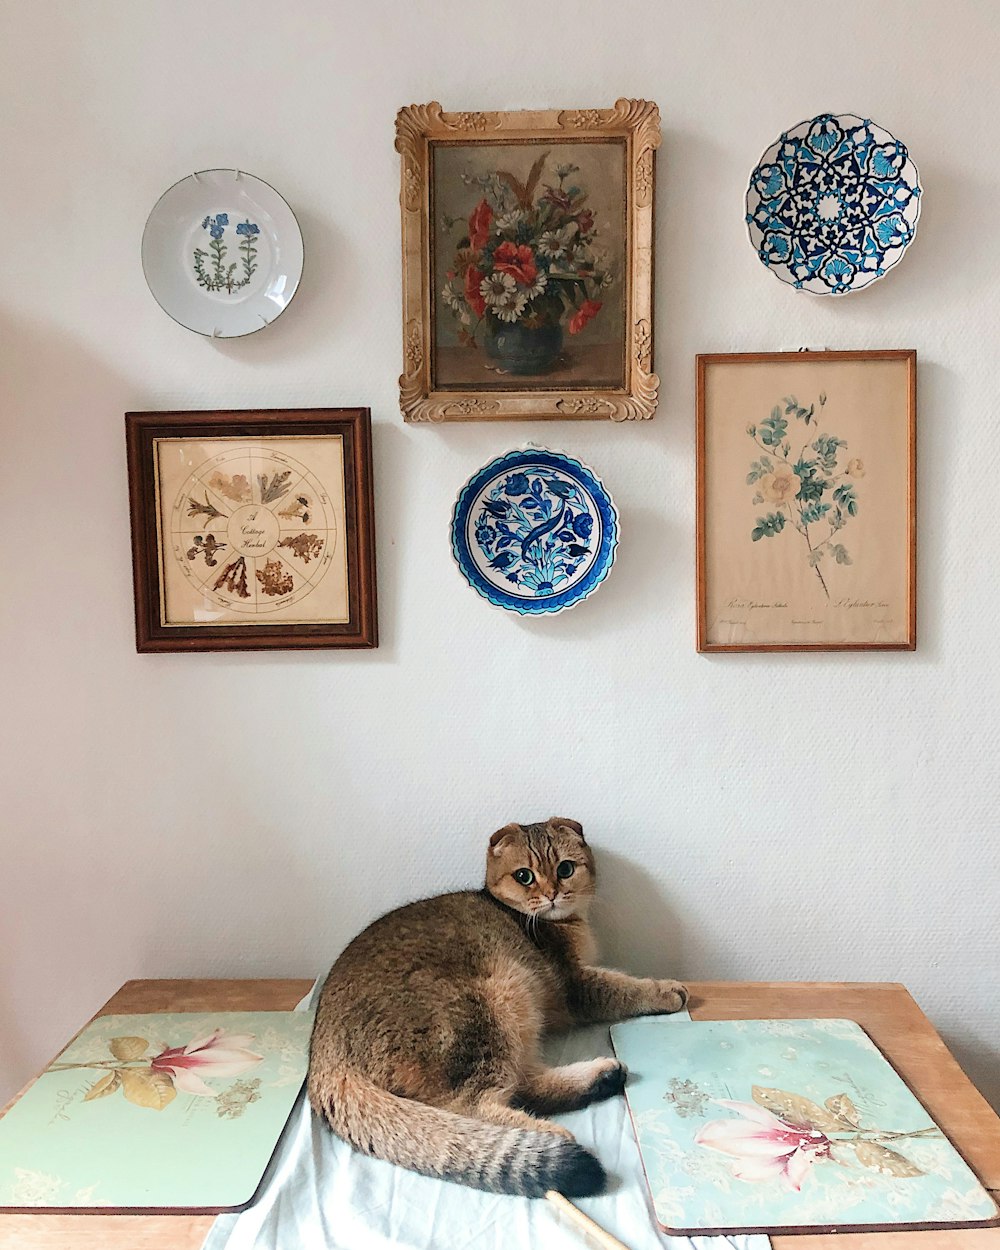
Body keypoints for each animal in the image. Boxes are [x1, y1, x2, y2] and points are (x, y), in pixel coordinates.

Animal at [310, 820, 690, 1200]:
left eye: (565, 869)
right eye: (525, 876)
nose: (553, 893)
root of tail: (325, 1054)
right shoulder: (577, 986)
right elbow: (623, 987)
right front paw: (668, 991)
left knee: (523, 1086)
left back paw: (601, 1079)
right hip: (492, 1005)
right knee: (472, 1106)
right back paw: (548, 1134)